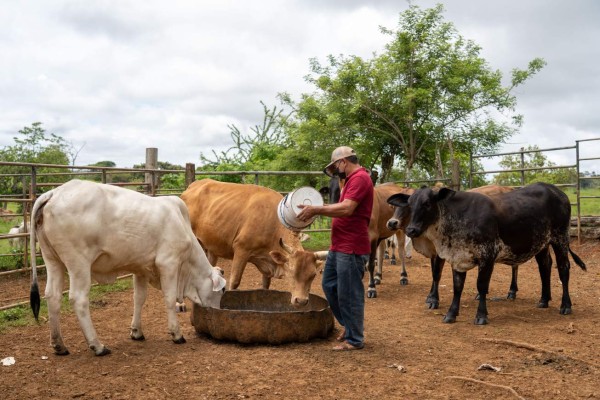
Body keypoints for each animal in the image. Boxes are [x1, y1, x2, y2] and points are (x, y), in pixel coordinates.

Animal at [28, 180, 225, 354]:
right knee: (79, 299)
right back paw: (97, 346)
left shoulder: (141, 269)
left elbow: (139, 299)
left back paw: (59, 345)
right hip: (79, 263)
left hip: (52, 260)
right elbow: (169, 299)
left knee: (52, 296)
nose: (219, 311)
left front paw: (136, 332)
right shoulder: (168, 263)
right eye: (222, 290)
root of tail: (53, 193)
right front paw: (176, 334)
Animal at [180, 179, 326, 306]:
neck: (272, 222)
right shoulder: (241, 250)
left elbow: (266, 286)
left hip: (211, 248)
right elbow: (235, 281)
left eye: (313, 275)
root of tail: (191, 188)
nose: (301, 301)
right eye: (292, 271)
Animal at [390, 182, 584, 324]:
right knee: (545, 267)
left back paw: (566, 305)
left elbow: (481, 286)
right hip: (541, 244)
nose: (412, 230)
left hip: (561, 238)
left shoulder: (488, 256)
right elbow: (457, 287)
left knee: (564, 269)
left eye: (427, 204)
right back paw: (544, 300)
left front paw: (481, 316)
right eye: (409, 204)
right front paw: (451, 314)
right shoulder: (457, 258)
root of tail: (557, 191)